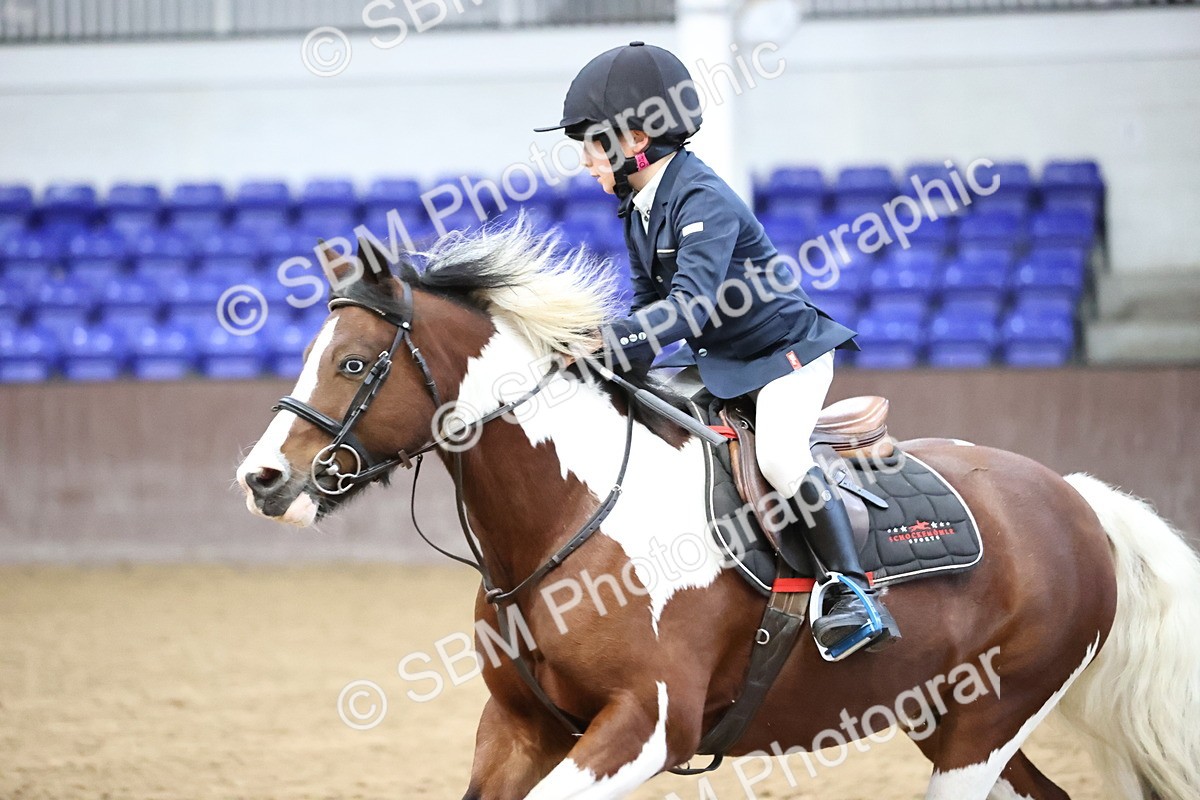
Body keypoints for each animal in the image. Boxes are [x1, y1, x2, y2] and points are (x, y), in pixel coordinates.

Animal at [235, 223, 1200, 800]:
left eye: (355, 363)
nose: (263, 479)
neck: (570, 517)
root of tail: (1073, 497)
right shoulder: (517, 727)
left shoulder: (646, 727)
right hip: (946, 718)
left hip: (985, 728)